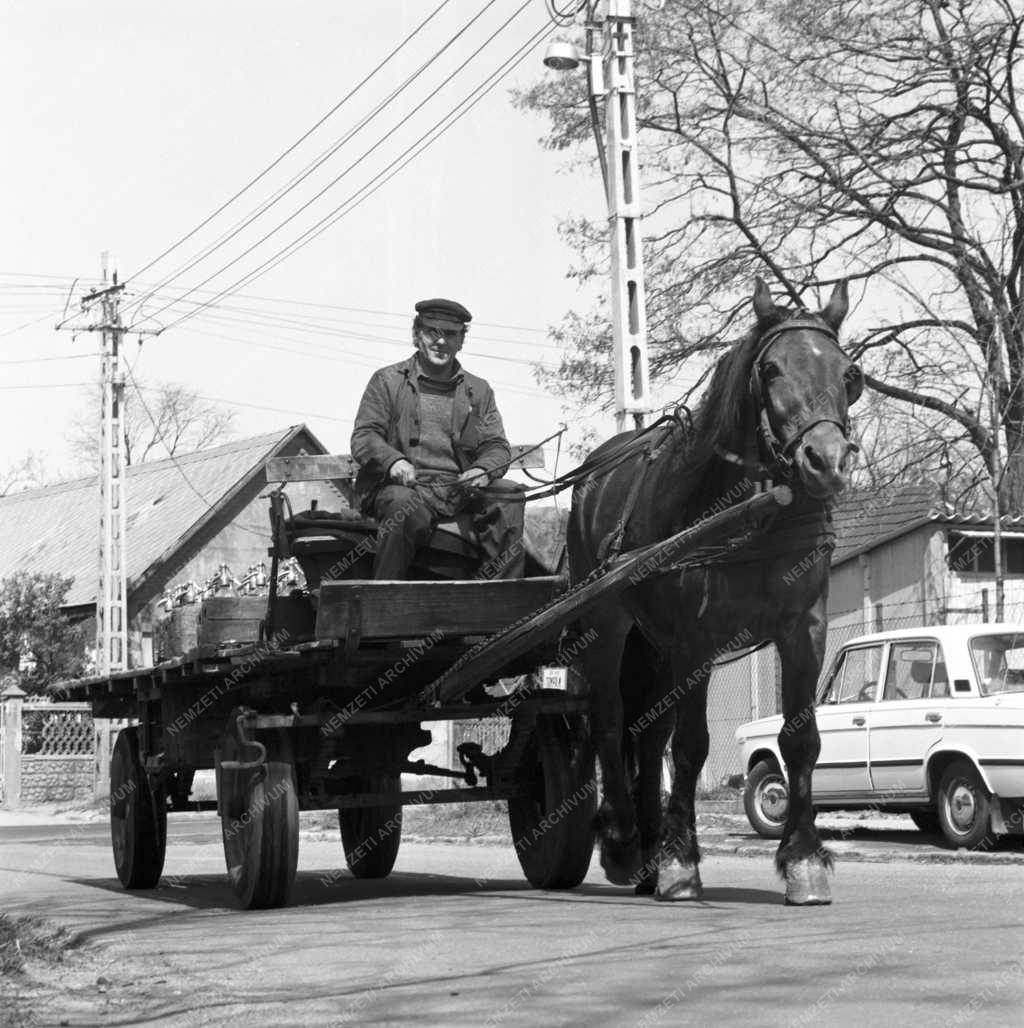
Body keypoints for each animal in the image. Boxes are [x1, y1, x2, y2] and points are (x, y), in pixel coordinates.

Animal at [571, 277, 859, 904]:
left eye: (849, 374)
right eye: (770, 369)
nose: (825, 461)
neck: (755, 509)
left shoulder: (804, 627)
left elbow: (800, 740)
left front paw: (804, 859)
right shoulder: (696, 639)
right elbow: (692, 745)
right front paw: (682, 861)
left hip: (652, 645)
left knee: (645, 732)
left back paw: (648, 851)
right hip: (605, 628)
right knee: (609, 719)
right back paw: (627, 844)